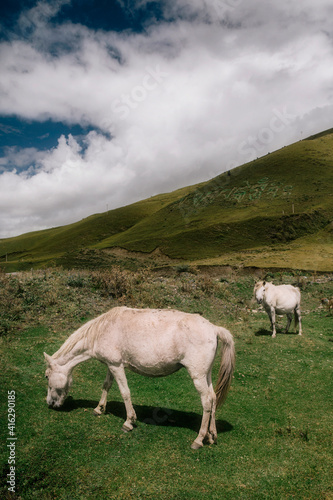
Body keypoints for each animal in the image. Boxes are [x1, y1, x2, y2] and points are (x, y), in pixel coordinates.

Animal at [43, 304, 233, 450]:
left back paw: (199, 440)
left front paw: (129, 422)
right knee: (213, 398)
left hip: (197, 376)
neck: (102, 329)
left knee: (206, 401)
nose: (50, 403)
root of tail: (214, 329)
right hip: (205, 375)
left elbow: (125, 392)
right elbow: (106, 385)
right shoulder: (111, 365)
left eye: (46, 376)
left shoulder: (116, 366)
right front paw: (99, 408)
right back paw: (211, 435)